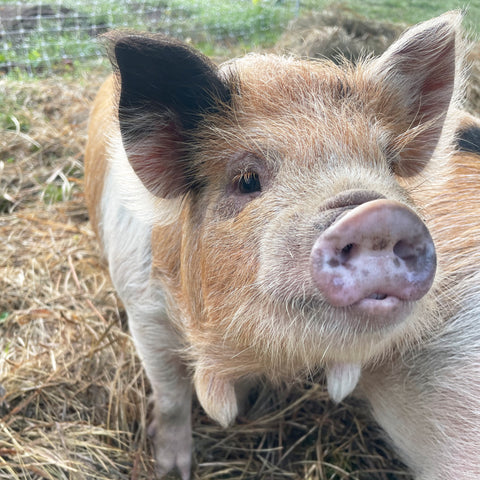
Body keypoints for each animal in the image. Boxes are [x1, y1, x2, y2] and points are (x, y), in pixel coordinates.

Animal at [84, 11, 480, 480]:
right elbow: (171, 397)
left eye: (387, 163)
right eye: (246, 180)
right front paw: (171, 469)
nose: (380, 214)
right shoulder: (143, 309)